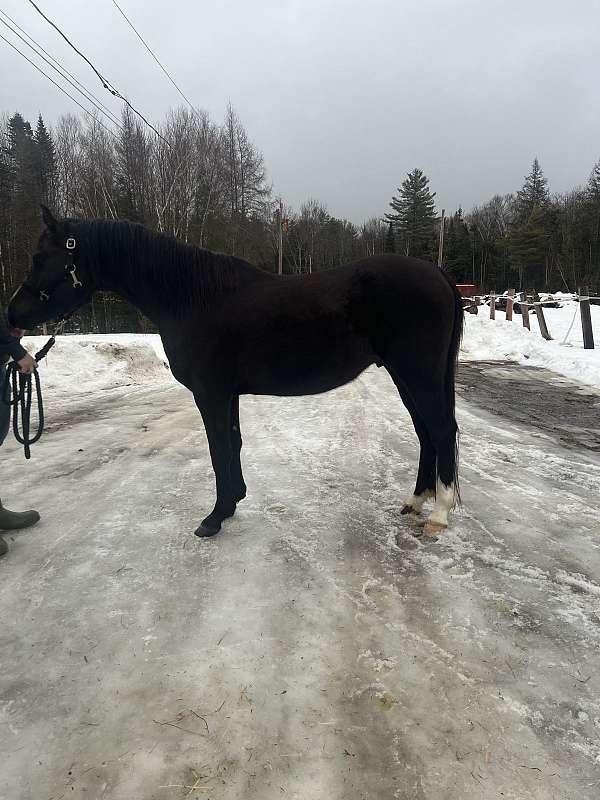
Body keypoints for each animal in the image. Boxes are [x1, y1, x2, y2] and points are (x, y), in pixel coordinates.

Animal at [8, 209, 464, 540]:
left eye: (40, 258)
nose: (12, 316)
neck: (191, 297)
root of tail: (438, 274)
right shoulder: (227, 394)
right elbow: (234, 443)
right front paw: (232, 504)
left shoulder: (210, 393)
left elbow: (219, 449)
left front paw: (213, 518)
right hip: (406, 377)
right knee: (426, 431)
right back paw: (416, 501)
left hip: (417, 373)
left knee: (441, 430)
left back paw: (439, 514)